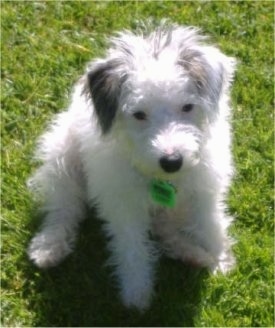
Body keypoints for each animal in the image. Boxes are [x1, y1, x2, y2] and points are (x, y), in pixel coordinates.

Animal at [27, 22, 237, 310]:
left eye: (187, 107)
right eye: (139, 114)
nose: (172, 161)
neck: (159, 178)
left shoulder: (203, 192)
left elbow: (210, 224)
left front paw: (220, 259)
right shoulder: (123, 205)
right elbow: (131, 246)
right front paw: (137, 292)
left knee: (165, 230)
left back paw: (193, 253)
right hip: (63, 160)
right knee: (64, 209)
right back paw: (49, 246)